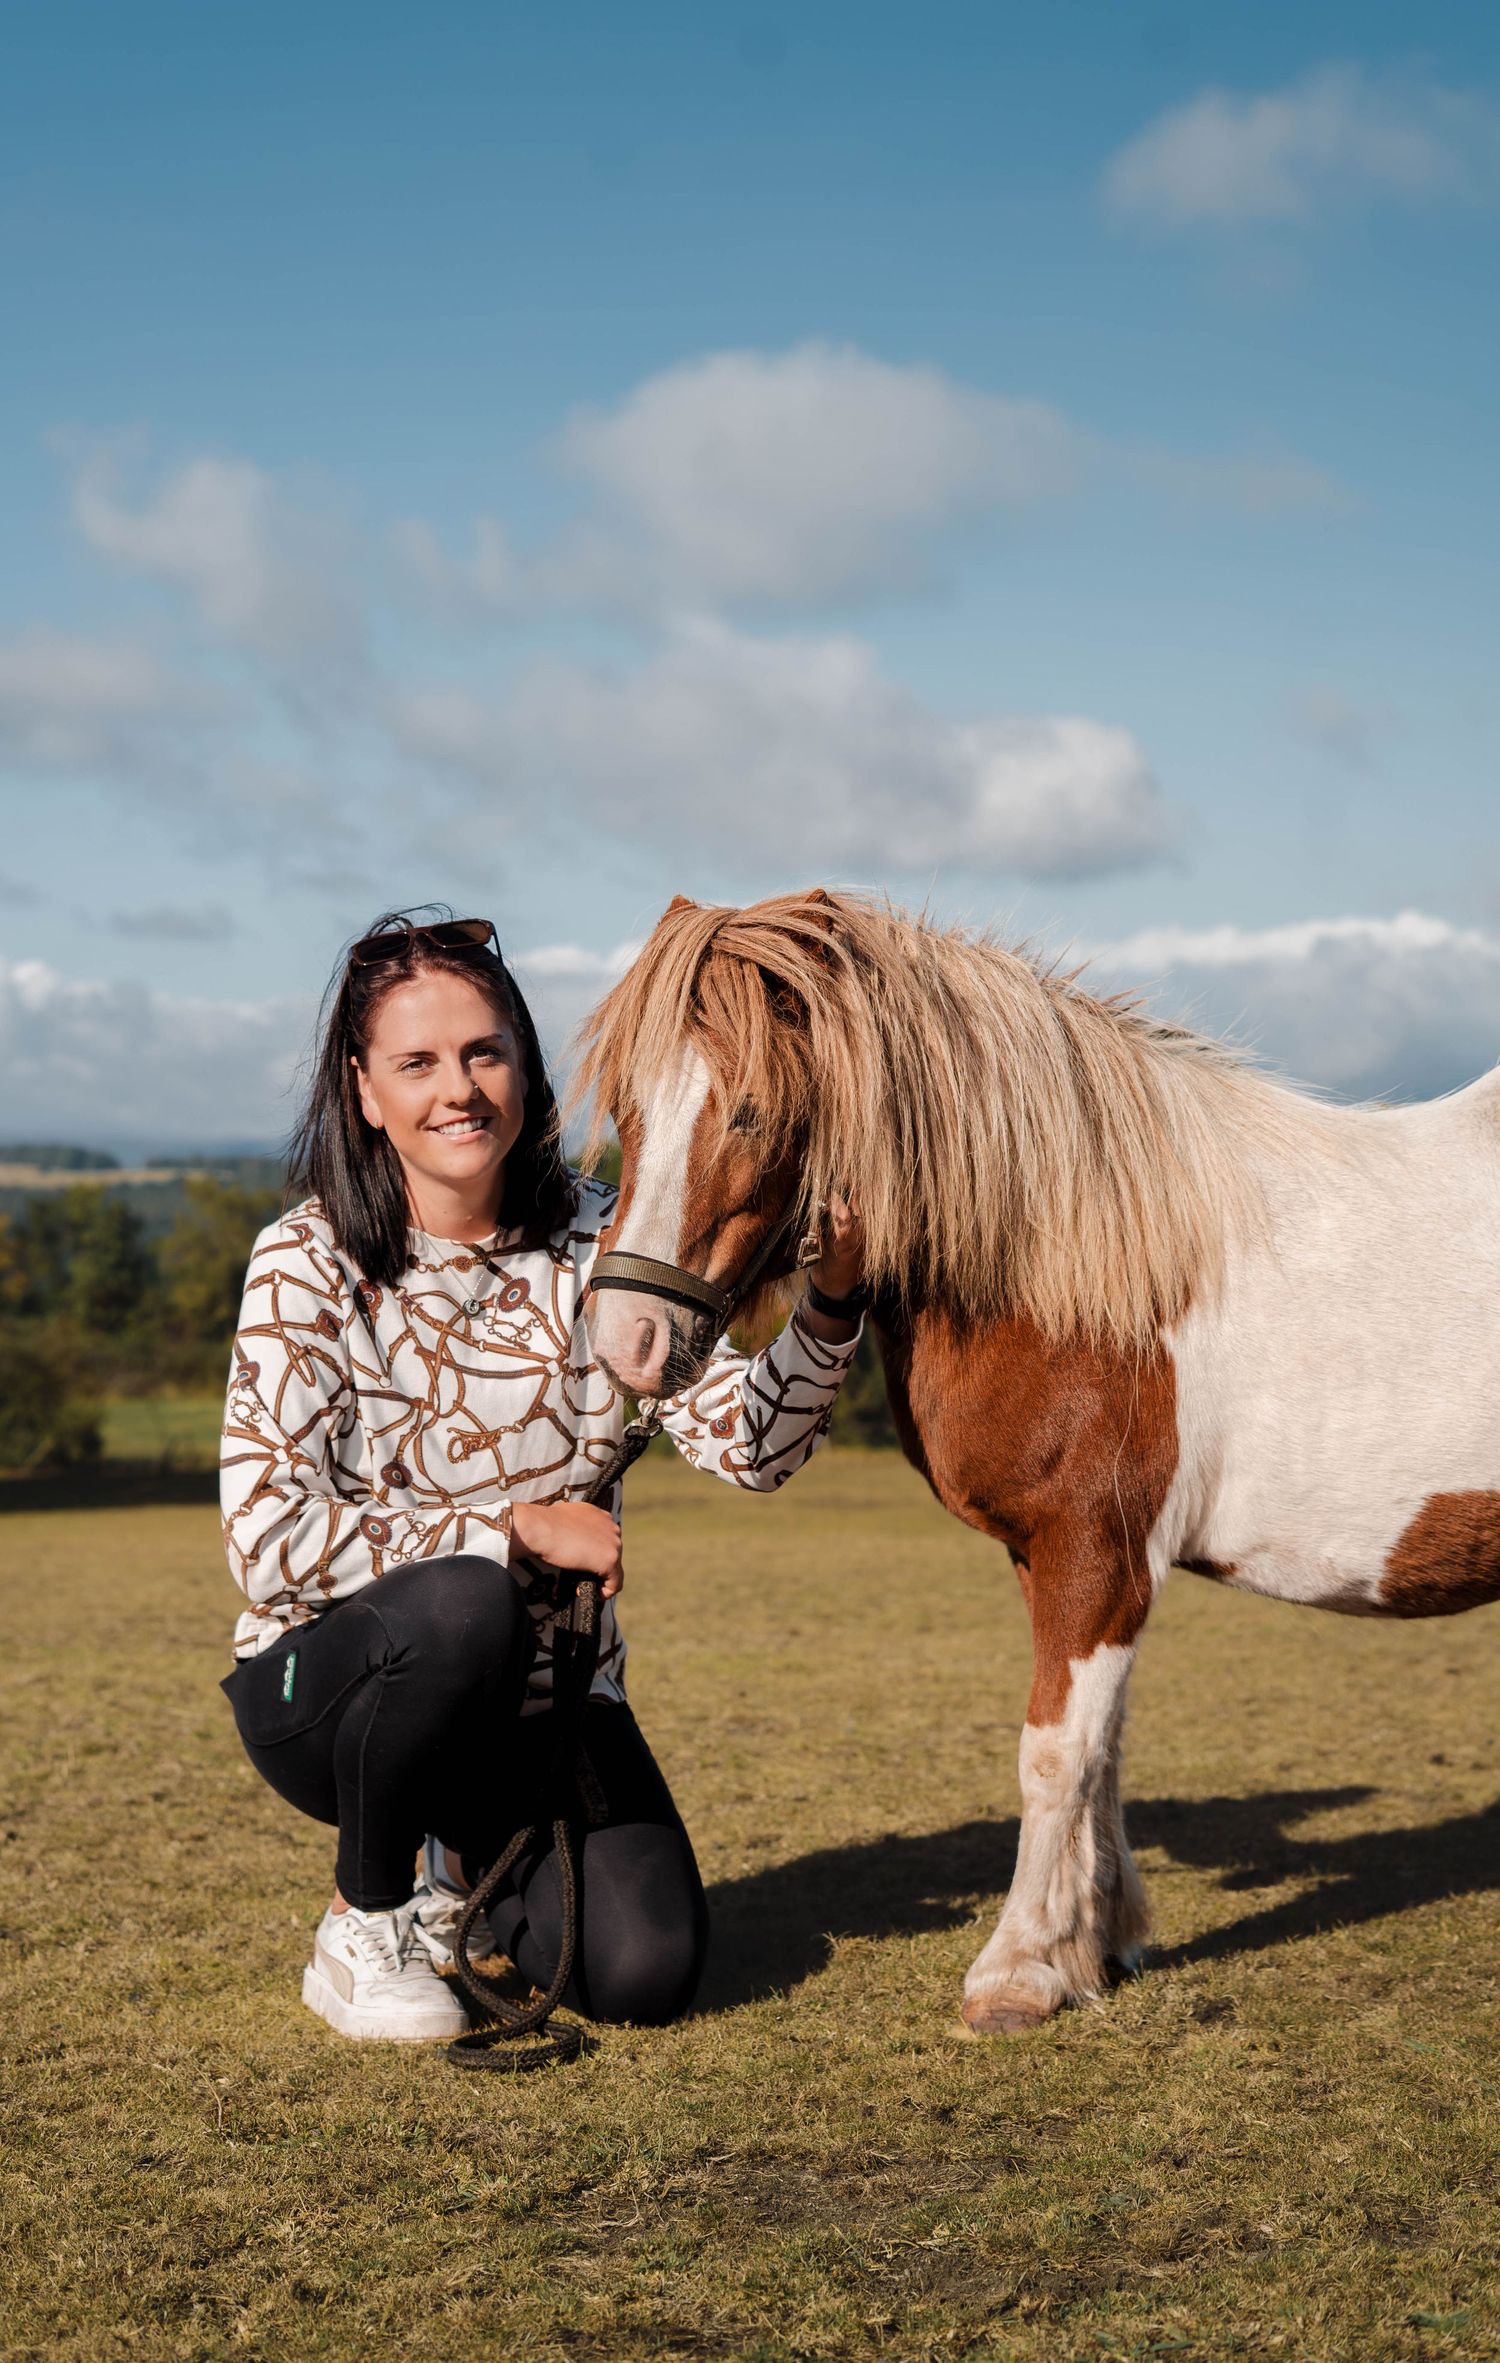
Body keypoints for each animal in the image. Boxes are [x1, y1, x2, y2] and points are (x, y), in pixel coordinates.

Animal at [572, 888, 1500, 2034]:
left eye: (748, 1110)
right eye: (628, 1105)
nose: (626, 1342)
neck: (1098, 1269)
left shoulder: (1095, 1555)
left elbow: (1055, 1751)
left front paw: (1018, 1970)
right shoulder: (1065, 1560)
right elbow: (1102, 1750)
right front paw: (1097, 1943)